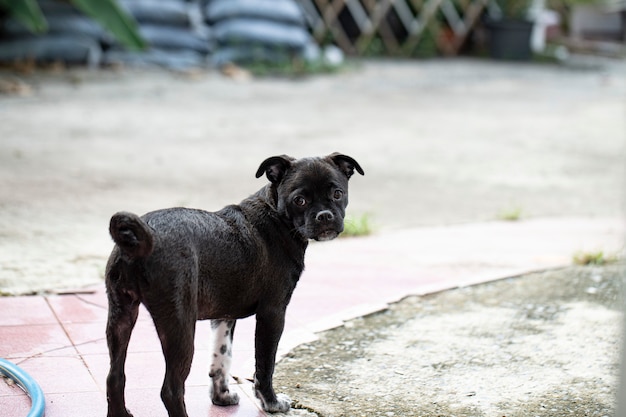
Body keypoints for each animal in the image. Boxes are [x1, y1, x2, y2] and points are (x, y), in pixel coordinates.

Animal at [105, 153, 364, 416]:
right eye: (299, 200)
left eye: (337, 194)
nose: (325, 216)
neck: (277, 215)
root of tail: (142, 236)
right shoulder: (272, 314)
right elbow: (265, 364)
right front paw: (271, 403)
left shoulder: (223, 317)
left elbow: (221, 358)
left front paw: (221, 396)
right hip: (179, 325)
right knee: (171, 389)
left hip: (121, 317)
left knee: (114, 377)